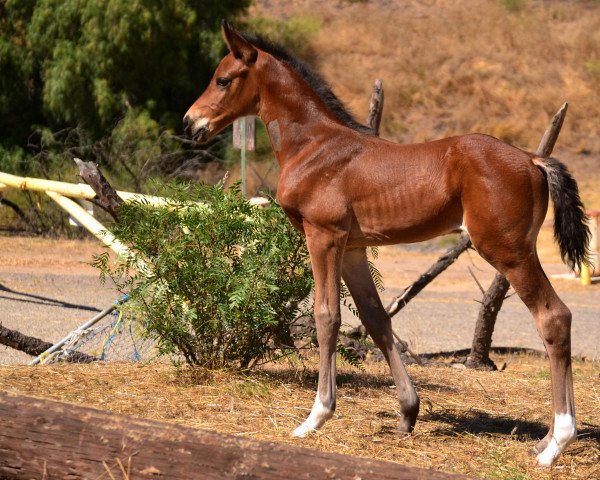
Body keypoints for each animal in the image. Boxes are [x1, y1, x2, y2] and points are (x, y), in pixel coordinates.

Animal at [184, 22, 592, 464]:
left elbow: (327, 317)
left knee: (553, 317)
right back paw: (545, 438)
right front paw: (408, 412)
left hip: (508, 250)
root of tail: (533, 159)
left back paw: (556, 444)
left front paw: (316, 417)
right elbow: (377, 320)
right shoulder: (352, 249)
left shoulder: (323, 236)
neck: (313, 146)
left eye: (223, 79)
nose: (190, 124)